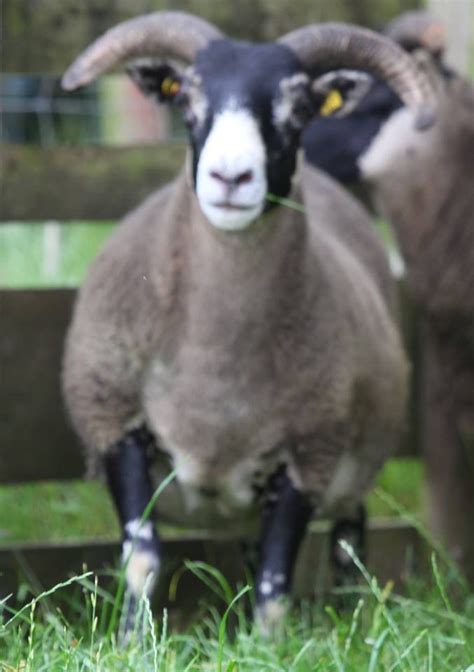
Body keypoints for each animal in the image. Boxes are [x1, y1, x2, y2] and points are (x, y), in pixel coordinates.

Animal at [61, 10, 436, 632]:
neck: (213, 368)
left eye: (299, 109)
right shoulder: (114, 423)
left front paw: (266, 645)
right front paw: (132, 640)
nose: (230, 177)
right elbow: (142, 558)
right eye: (187, 102)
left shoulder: (308, 458)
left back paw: (354, 617)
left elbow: (275, 581)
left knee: (349, 539)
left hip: (350, 464)